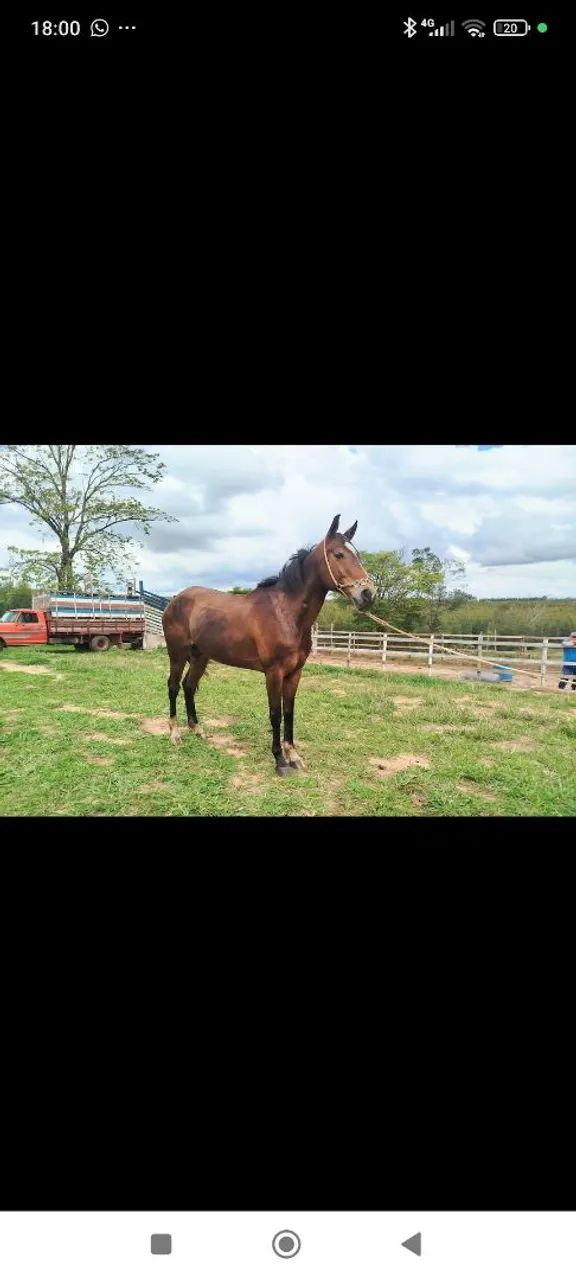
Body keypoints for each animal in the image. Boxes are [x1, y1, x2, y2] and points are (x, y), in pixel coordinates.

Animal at [161, 514, 376, 775]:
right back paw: (175, 733)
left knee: (189, 686)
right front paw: (280, 760)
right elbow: (275, 714)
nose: (368, 594)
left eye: (358, 555)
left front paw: (293, 755)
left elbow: (289, 712)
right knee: (173, 686)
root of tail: (175, 600)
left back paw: (197, 729)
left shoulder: (294, 673)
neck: (284, 614)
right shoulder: (273, 673)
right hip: (177, 653)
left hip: (201, 656)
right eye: (338, 554)